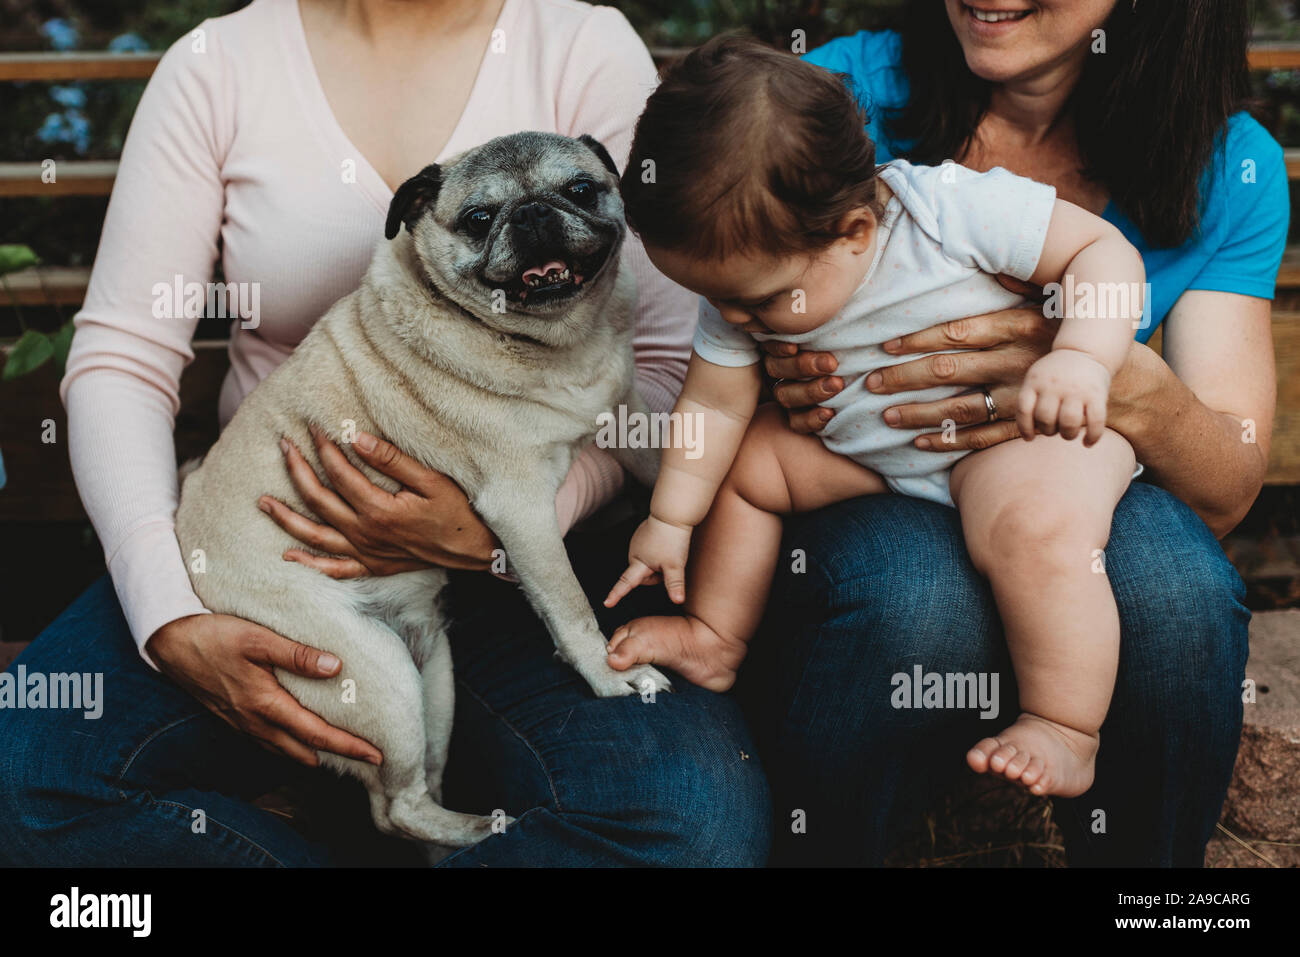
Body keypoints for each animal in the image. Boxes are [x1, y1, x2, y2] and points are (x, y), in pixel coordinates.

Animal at [175, 130, 670, 847]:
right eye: (479, 218)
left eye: (580, 189)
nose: (532, 213)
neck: (558, 345)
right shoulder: (522, 507)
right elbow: (572, 606)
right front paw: (611, 673)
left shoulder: (629, 417)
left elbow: (670, 466)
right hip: (372, 672)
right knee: (396, 809)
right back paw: (486, 829)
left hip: (432, 674)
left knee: (417, 792)